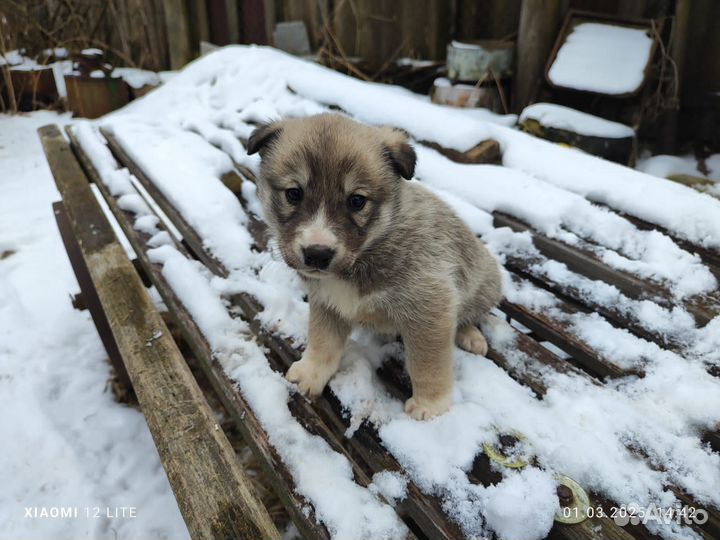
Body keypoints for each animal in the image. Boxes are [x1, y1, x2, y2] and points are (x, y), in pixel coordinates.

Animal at [248, 113, 500, 418]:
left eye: (357, 201)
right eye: (294, 194)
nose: (317, 254)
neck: (366, 254)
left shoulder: (431, 306)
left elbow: (428, 364)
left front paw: (431, 406)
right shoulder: (327, 301)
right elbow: (322, 340)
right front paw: (312, 372)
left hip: (483, 284)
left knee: (471, 313)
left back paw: (469, 334)